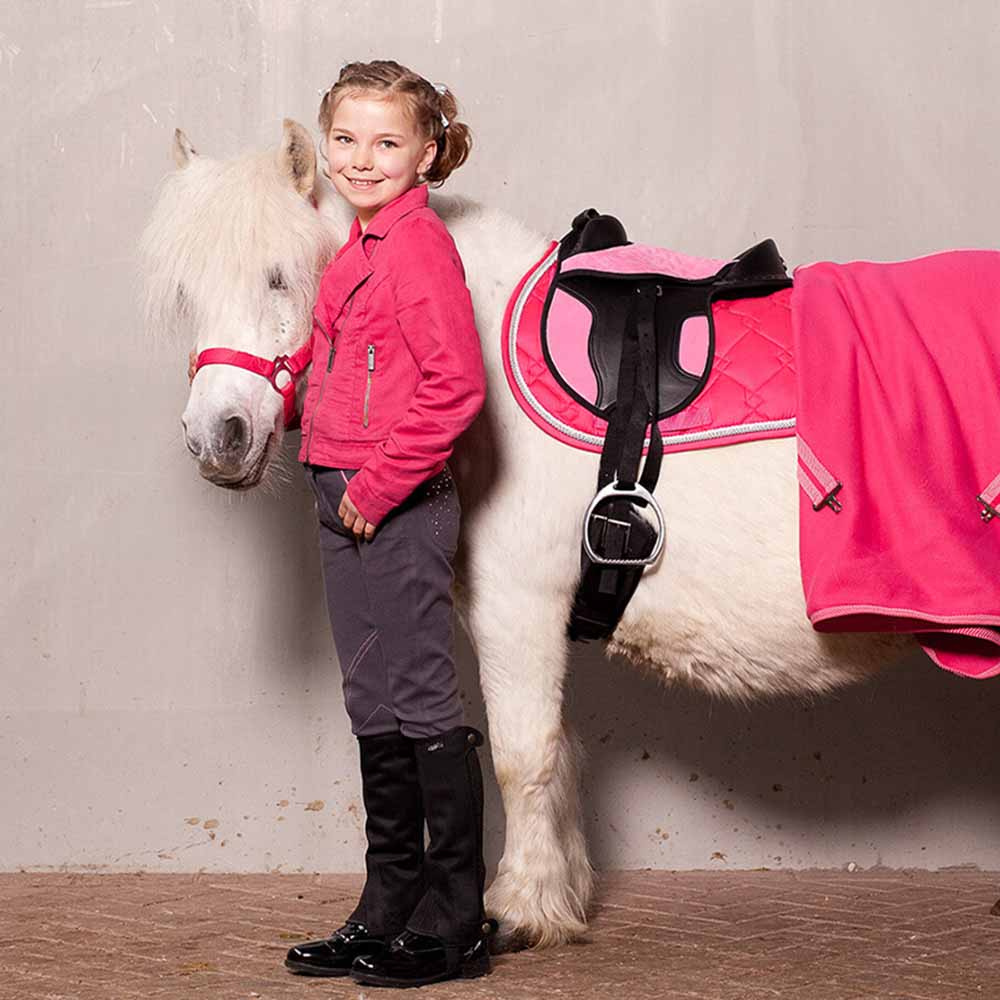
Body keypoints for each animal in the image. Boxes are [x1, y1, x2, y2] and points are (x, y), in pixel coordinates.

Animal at [140, 119, 916, 949]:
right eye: (186, 294)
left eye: (279, 278)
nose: (216, 438)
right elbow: (560, 751)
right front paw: (559, 893)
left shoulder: (516, 607)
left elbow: (522, 755)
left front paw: (519, 909)